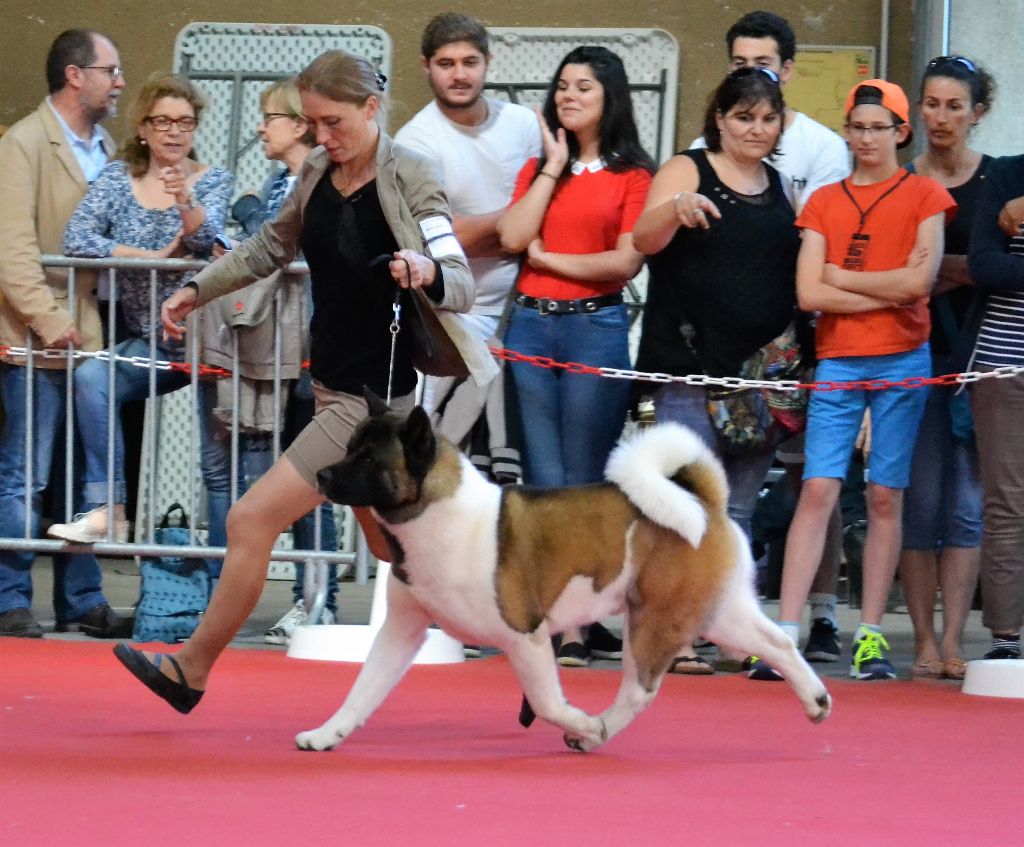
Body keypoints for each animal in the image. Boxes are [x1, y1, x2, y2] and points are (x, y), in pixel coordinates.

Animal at [299, 393, 832, 753]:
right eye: (348, 447)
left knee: (640, 690)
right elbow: (363, 688)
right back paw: (815, 699)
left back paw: (597, 732)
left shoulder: (526, 637)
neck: (437, 512)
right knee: (777, 644)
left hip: (654, 621)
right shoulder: (400, 632)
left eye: (368, 459)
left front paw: (584, 724)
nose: (322, 475)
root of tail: (704, 502)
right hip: (716, 612)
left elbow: (547, 703)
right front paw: (328, 734)